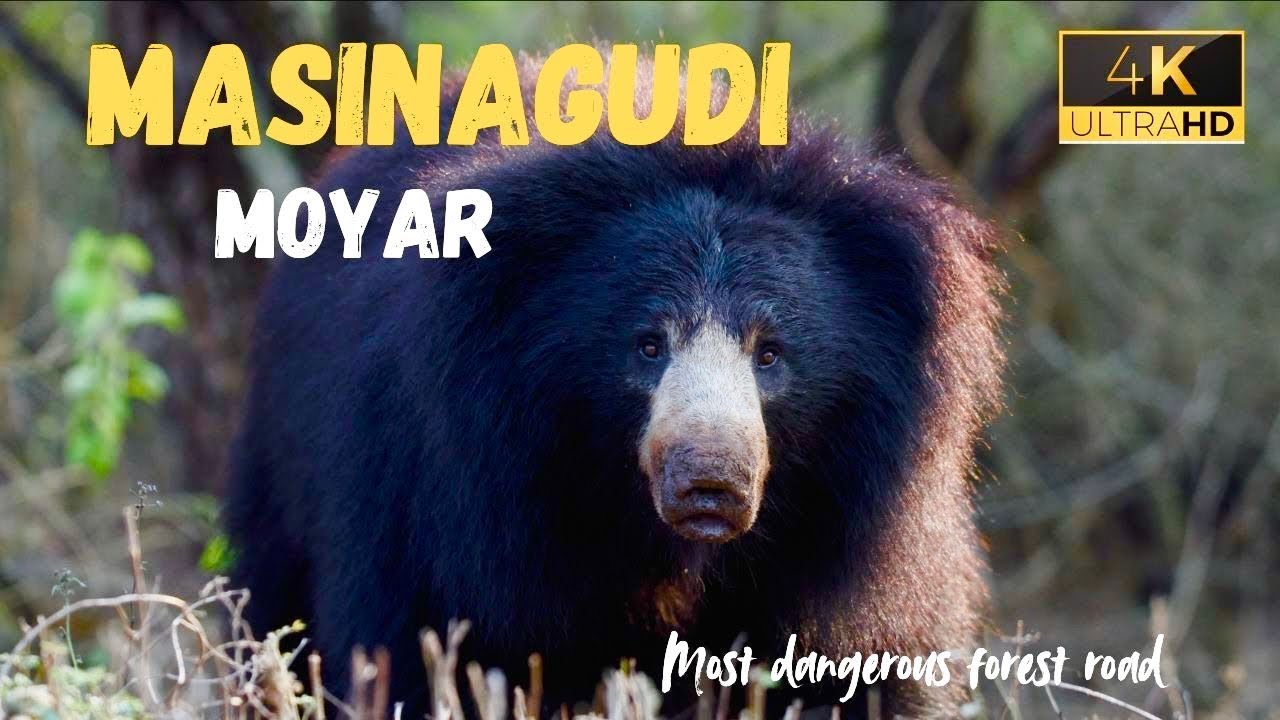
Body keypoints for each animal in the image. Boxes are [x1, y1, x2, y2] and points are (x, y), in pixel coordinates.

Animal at [225, 48, 1004, 719]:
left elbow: (861, 665)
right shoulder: (445, 497)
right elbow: (411, 646)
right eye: (647, 345)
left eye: (771, 353)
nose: (710, 479)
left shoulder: (856, 535)